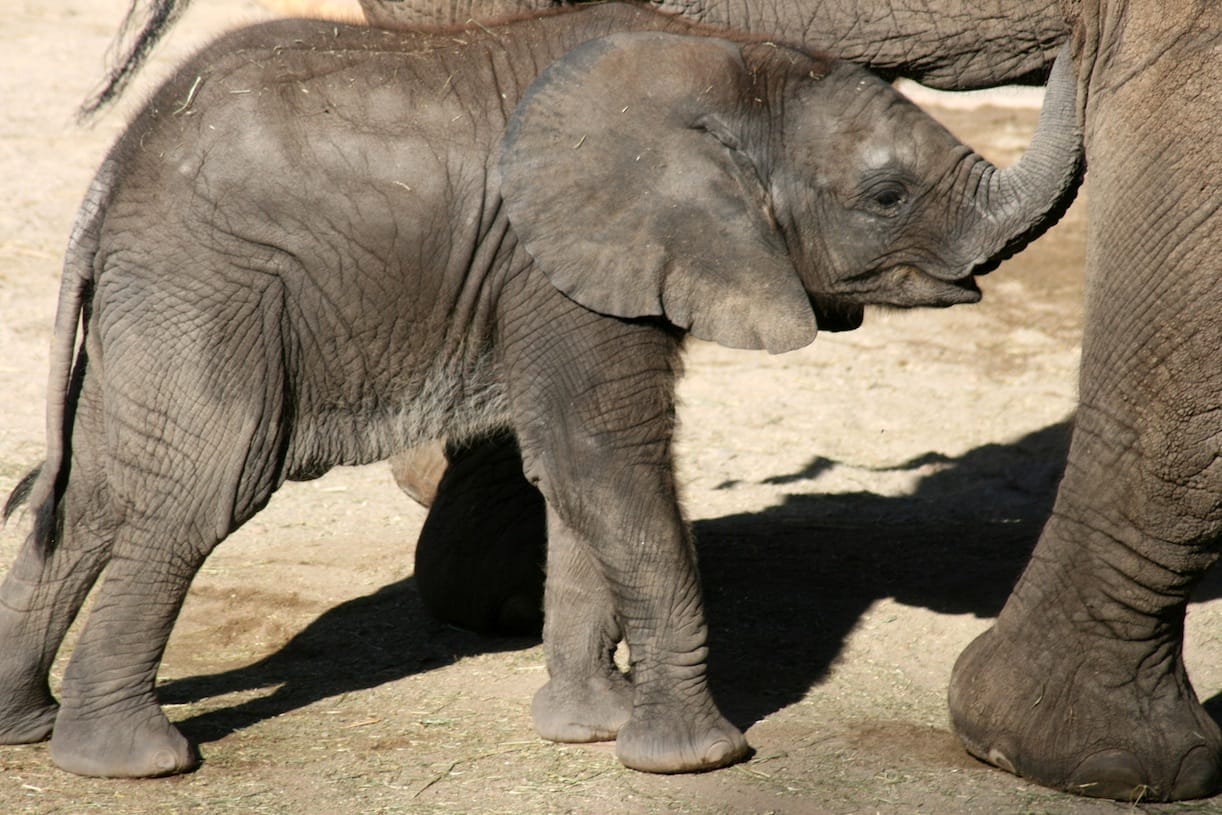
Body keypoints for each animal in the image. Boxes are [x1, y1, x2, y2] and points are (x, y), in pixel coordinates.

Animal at [0, 2, 1083, 779]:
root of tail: (109, 181)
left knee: (92, 492)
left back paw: (29, 726)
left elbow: (572, 479)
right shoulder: (556, 266)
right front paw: (697, 758)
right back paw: (134, 762)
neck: (726, 62)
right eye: (885, 196)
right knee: (205, 484)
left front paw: (588, 730)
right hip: (216, 287)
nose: (1079, 33)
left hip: (159, 296)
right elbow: (607, 458)